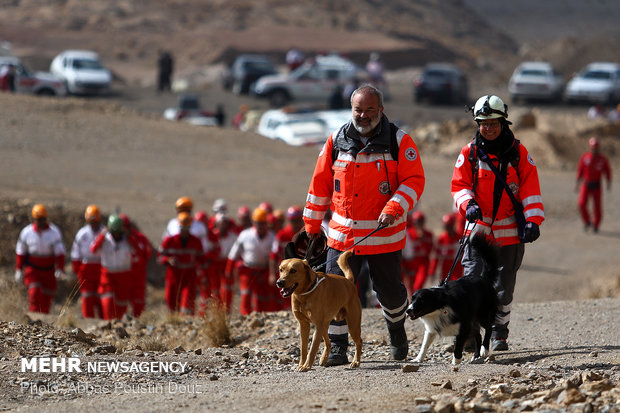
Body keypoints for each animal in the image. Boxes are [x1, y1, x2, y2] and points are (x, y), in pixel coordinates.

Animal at [406, 235, 498, 364]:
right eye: (412, 299)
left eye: (422, 301)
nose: (408, 311)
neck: (439, 307)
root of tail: (483, 278)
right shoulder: (431, 329)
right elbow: (424, 345)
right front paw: (418, 359)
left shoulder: (463, 327)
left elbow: (458, 347)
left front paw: (456, 363)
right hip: (474, 320)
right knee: (478, 335)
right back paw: (476, 356)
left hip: (483, 314)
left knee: (488, 328)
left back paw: (484, 350)